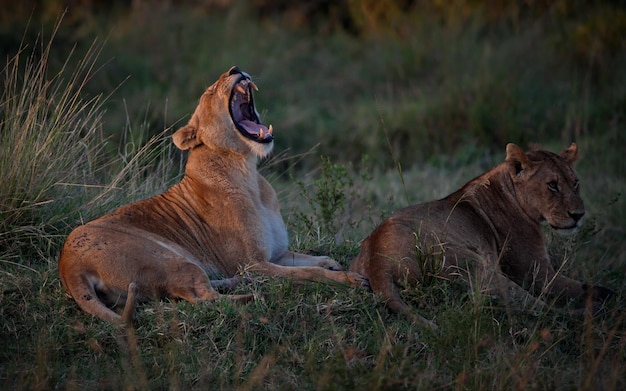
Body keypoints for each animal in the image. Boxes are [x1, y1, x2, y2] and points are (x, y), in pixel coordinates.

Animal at [58, 66, 366, 326]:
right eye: (209, 91)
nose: (235, 69)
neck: (248, 170)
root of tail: (68, 265)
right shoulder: (253, 263)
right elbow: (309, 273)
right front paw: (350, 279)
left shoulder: (275, 254)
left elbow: (313, 259)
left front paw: (333, 263)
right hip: (172, 259)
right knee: (201, 298)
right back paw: (251, 294)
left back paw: (239, 285)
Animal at [348, 143, 612, 328]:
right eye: (552, 185)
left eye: (575, 182)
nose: (578, 215)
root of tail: (377, 260)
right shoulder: (536, 273)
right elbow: (584, 288)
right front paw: (606, 297)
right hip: (482, 269)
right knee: (536, 310)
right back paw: (592, 312)